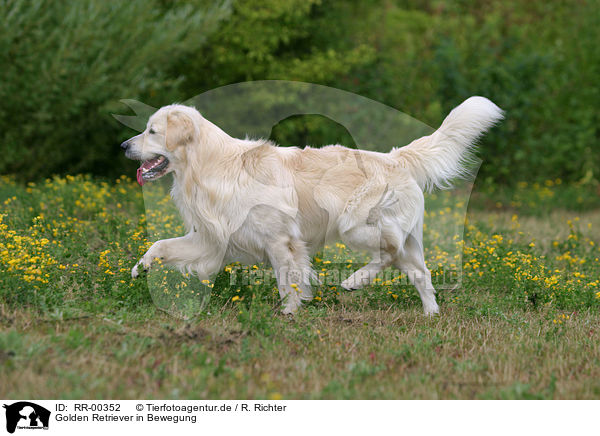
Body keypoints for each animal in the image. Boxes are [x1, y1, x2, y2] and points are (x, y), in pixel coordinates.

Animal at [120, 96, 502, 314]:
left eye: (152, 131)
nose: (123, 146)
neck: (210, 166)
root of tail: (396, 158)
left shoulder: (281, 241)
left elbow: (287, 280)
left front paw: (289, 314)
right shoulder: (210, 239)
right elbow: (161, 245)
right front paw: (141, 267)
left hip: (354, 225)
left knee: (390, 253)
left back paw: (355, 281)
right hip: (403, 238)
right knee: (420, 272)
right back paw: (430, 314)